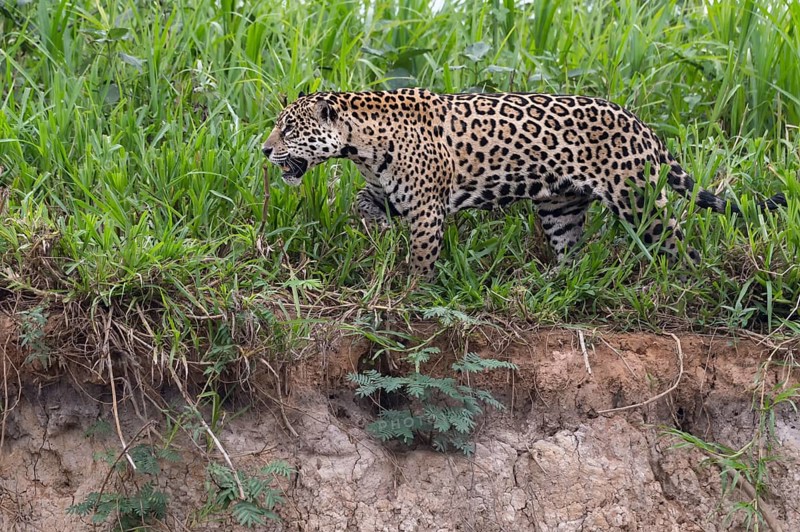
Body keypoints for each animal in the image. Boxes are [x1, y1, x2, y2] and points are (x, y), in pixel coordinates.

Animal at [262, 88, 786, 278]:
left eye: (287, 129)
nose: (264, 150)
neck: (360, 143)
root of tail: (643, 125)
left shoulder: (427, 208)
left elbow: (424, 257)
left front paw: (413, 292)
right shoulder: (386, 190)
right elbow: (360, 205)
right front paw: (376, 234)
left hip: (639, 204)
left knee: (680, 244)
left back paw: (691, 283)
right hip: (560, 206)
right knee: (573, 253)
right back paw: (550, 284)